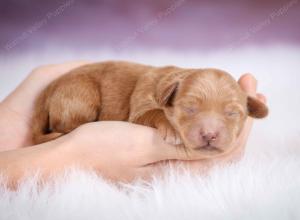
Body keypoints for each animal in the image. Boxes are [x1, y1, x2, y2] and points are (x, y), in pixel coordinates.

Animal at [31, 60, 268, 156]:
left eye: (232, 113)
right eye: (189, 109)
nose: (210, 135)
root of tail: (48, 89)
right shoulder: (140, 108)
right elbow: (155, 112)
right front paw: (171, 130)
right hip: (81, 94)